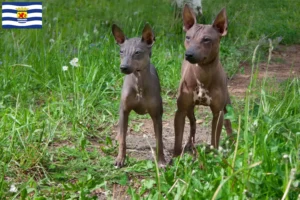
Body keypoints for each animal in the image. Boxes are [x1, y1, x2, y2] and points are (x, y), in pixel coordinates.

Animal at [111, 23, 166, 167]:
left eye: (137, 53)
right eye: (121, 51)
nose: (123, 67)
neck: (139, 84)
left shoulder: (157, 115)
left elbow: (159, 141)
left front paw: (161, 161)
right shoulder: (124, 111)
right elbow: (123, 139)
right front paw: (120, 159)